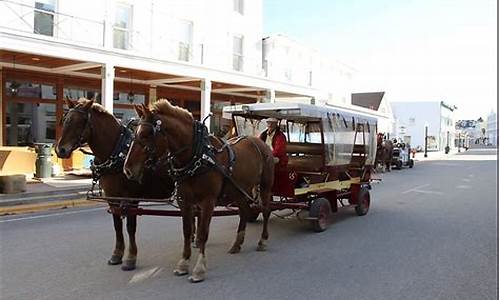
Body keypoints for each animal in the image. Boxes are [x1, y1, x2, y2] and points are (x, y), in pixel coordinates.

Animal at [55, 98, 174, 270]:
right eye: (65, 120)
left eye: (80, 122)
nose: (61, 150)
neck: (117, 154)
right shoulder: (112, 198)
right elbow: (117, 225)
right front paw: (117, 254)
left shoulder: (131, 199)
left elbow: (130, 227)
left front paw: (131, 257)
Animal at [123, 99, 276, 282]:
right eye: (135, 132)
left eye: (146, 134)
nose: (127, 169)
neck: (197, 156)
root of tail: (260, 142)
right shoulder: (185, 201)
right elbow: (187, 231)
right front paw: (183, 263)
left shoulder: (208, 201)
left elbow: (203, 233)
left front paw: (199, 268)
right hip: (238, 190)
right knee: (244, 210)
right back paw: (237, 244)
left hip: (265, 186)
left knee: (266, 210)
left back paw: (263, 240)